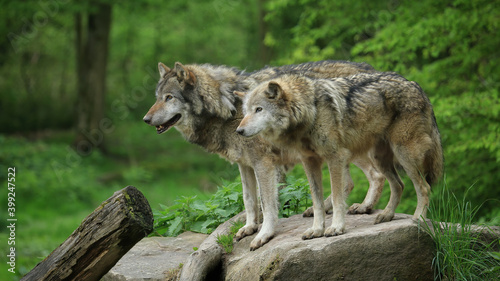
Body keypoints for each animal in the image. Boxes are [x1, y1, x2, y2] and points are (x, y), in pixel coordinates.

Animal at [144, 60, 386, 249]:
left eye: (169, 97)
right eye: (157, 97)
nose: (146, 119)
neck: (228, 107)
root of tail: (369, 67)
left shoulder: (264, 163)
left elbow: (267, 204)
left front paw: (264, 234)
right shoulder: (244, 164)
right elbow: (249, 200)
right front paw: (249, 227)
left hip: (345, 147)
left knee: (374, 175)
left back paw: (363, 207)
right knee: (350, 182)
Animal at [236, 72, 444, 238]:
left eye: (259, 109)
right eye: (245, 112)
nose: (239, 131)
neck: (310, 111)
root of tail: (417, 86)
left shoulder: (335, 158)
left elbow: (337, 198)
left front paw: (336, 228)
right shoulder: (309, 162)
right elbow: (317, 202)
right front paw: (316, 230)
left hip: (404, 156)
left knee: (424, 188)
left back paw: (418, 219)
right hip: (380, 159)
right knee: (399, 185)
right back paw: (386, 215)